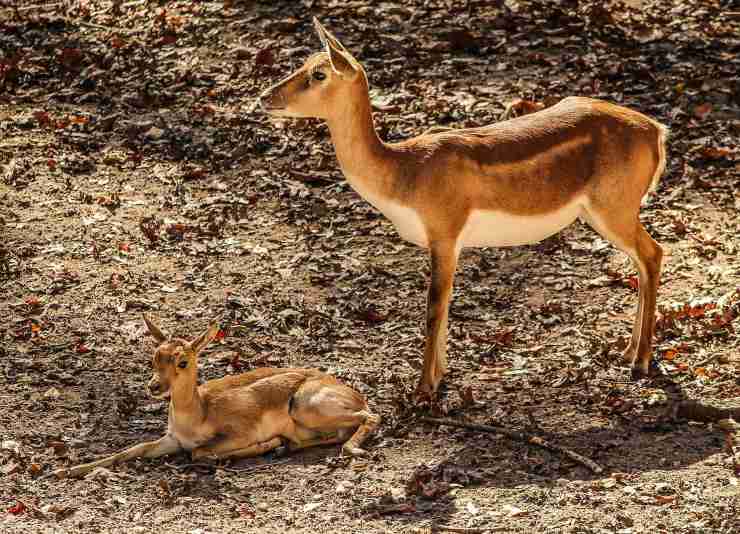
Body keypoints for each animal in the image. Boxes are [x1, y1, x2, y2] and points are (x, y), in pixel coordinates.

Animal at [52, 316, 378, 480]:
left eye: (183, 361)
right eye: (155, 356)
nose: (154, 387)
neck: (198, 413)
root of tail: (354, 394)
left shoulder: (236, 433)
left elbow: (200, 452)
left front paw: (266, 443)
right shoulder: (173, 439)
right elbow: (131, 450)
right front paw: (65, 469)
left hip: (307, 407)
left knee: (371, 416)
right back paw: (288, 445)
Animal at [258, 18, 668, 400]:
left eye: (319, 73)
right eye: (303, 62)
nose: (264, 96)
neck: (405, 174)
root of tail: (657, 132)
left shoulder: (444, 231)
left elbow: (433, 307)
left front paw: (423, 390)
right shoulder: (452, 244)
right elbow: (447, 303)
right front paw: (441, 378)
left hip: (614, 207)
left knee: (653, 253)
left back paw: (640, 361)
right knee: (642, 260)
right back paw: (628, 351)